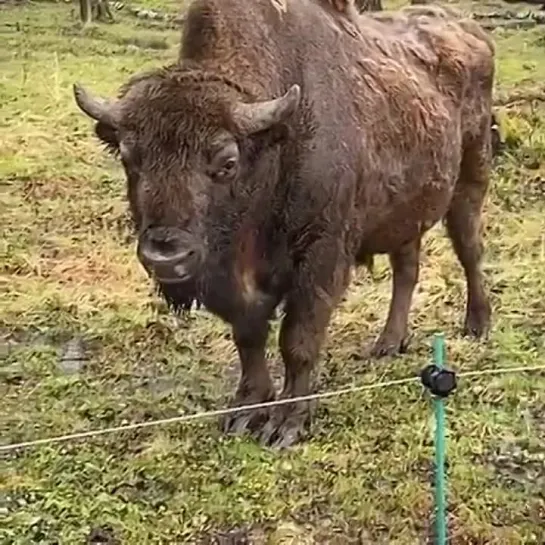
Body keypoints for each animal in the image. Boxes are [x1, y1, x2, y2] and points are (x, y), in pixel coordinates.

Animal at [74, 0, 496, 446]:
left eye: (226, 162)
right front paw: (245, 411)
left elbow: (298, 339)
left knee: (469, 251)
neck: (274, 145)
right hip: (405, 211)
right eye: (128, 157)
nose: (166, 257)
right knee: (407, 269)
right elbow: (248, 336)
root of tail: (472, 31)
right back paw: (388, 343)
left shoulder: (321, 256)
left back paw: (477, 325)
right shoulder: (235, 283)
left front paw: (287, 424)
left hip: (470, 179)